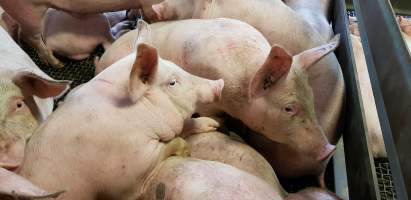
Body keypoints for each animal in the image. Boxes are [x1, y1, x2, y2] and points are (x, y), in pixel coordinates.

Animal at [18, 43, 225, 199]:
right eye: (172, 82)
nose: (219, 83)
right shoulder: (131, 174)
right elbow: (174, 142)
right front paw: (187, 152)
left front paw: (214, 125)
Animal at [97, 19, 342, 181]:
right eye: (289, 108)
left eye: (311, 98)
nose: (329, 149)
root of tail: (103, 58)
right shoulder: (208, 104)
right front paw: (222, 127)